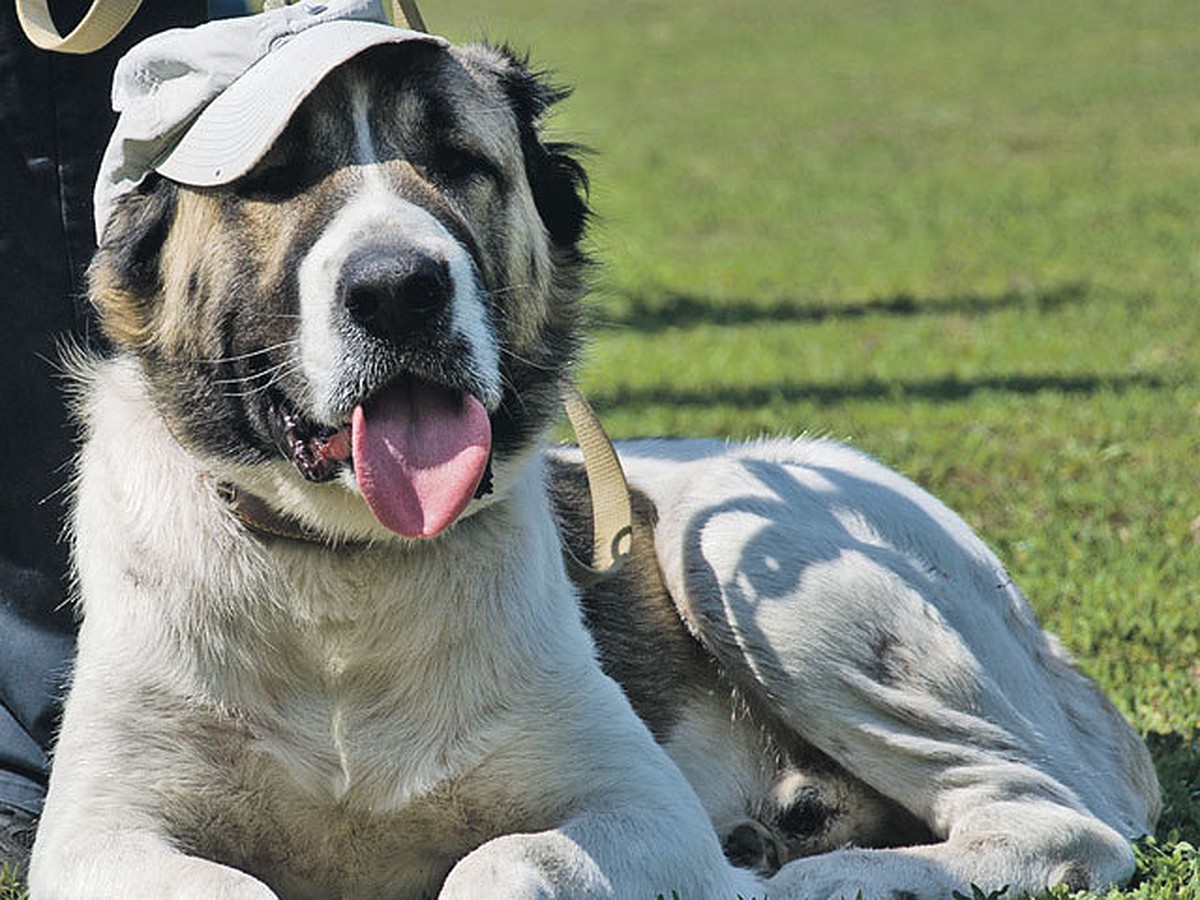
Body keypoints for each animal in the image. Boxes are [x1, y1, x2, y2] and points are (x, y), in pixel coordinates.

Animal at [28, 3, 1156, 897]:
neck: (343, 571)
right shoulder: (95, 835)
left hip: (739, 548)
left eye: (460, 165)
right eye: (275, 178)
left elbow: (507, 856)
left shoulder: (637, 805)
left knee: (1059, 820)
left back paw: (827, 875)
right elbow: (224, 883)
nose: (399, 289)